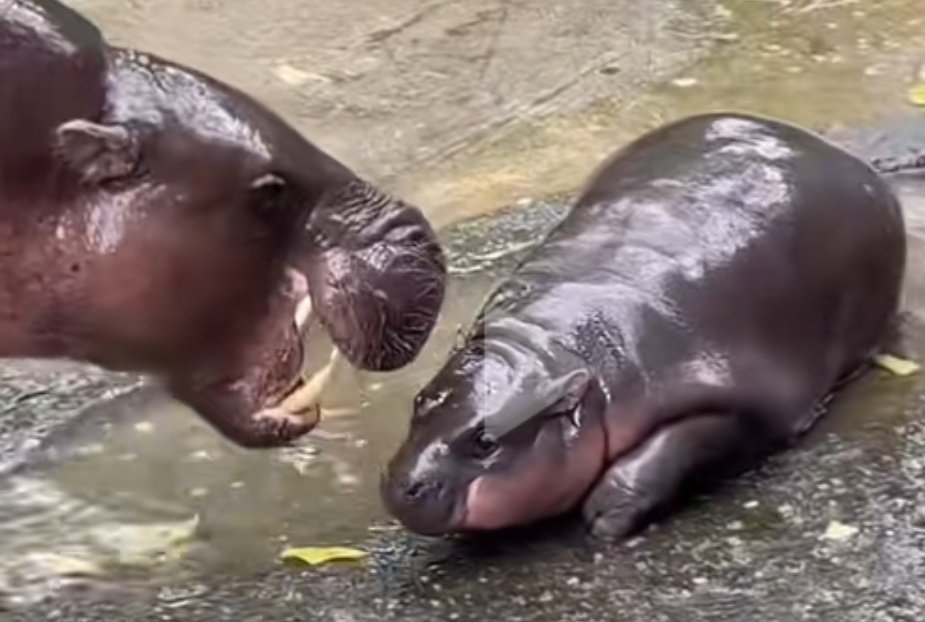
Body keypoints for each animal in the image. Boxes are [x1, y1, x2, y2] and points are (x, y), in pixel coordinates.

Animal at [381, 111, 913, 540]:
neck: (557, 350)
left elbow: (678, 444)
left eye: (486, 442)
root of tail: (830, 148)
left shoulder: (734, 396)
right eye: (420, 402)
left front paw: (603, 518)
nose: (402, 484)